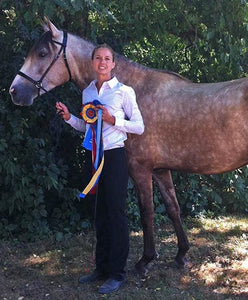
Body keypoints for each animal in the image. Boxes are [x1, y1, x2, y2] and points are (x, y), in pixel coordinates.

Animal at [9, 16, 248, 274]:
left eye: (42, 53)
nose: (14, 91)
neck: (136, 90)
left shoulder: (140, 169)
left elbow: (147, 213)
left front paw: (146, 260)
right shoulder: (161, 170)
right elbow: (173, 208)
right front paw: (182, 254)